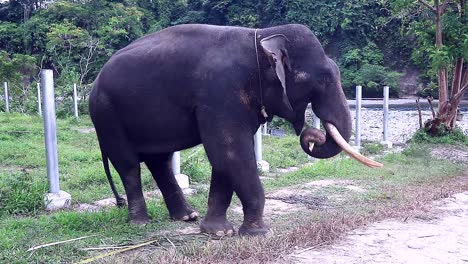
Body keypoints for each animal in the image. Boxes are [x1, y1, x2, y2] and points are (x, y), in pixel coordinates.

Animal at [89, 23, 382, 236]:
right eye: (322, 78)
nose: (312, 137)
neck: (261, 36)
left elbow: (225, 158)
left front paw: (217, 233)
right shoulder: (220, 94)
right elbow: (230, 153)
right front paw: (259, 234)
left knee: (158, 160)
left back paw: (187, 217)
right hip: (106, 115)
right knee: (128, 165)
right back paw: (141, 223)